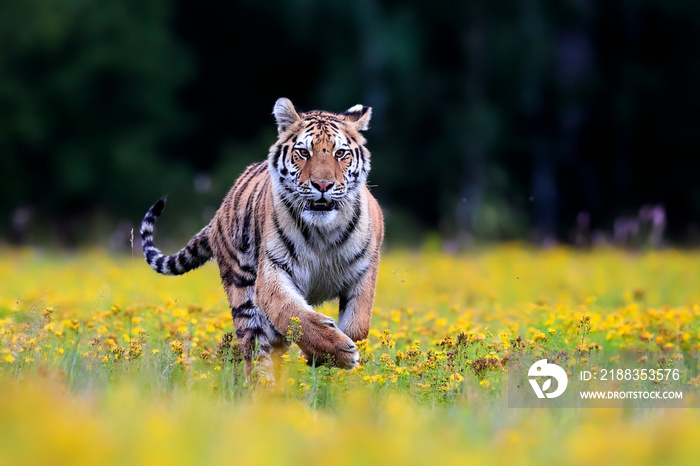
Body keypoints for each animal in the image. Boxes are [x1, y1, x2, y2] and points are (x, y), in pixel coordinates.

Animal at [140, 97, 386, 378]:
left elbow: (358, 325)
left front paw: (328, 354)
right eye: (304, 153)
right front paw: (335, 350)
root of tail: (217, 215)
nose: (322, 185)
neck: (323, 231)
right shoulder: (273, 271)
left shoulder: (364, 271)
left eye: (340, 154)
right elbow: (292, 313)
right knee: (257, 352)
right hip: (243, 293)